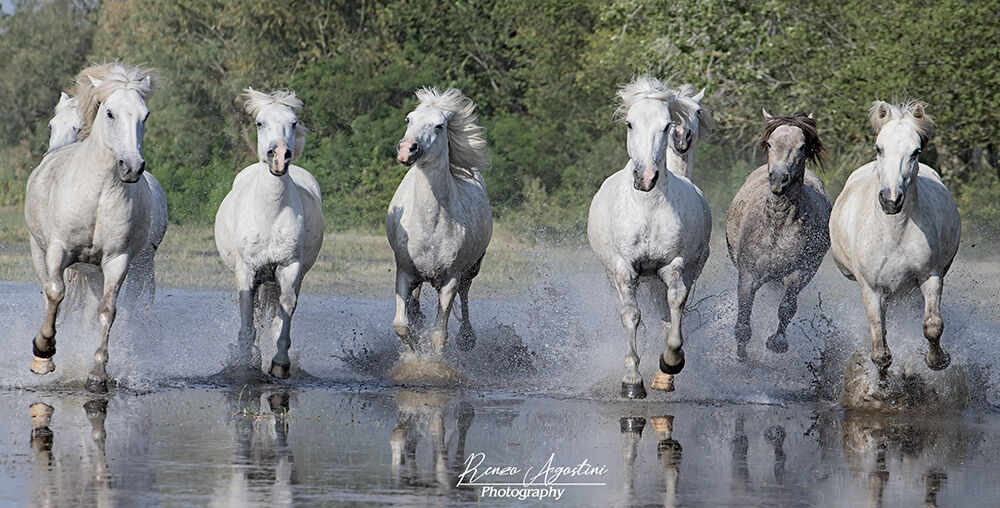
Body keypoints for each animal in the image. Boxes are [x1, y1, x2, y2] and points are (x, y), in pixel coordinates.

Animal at [215, 88, 324, 379]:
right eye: (259, 123)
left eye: (293, 122)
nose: (280, 156)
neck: (270, 213)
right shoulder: (247, 270)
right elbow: (247, 313)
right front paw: (245, 362)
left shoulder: (288, 266)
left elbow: (285, 307)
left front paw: (280, 363)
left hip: (279, 278)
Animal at [386, 87, 492, 366]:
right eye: (409, 119)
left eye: (439, 125)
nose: (406, 150)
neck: (430, 224)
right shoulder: (404, 270)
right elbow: (400, 324)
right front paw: (410, 355)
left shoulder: (450, 279)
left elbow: (439, 334)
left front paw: (433, 365)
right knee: (415, 298)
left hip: (472, 268)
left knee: (465, 295)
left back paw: (467, 338)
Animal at [587, 76, 712, 398]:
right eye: (629, 124)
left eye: (666, 125)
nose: (644, 177)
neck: (646, 207)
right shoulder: (623, 268)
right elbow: (631, 315)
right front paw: (632, 381)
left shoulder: (672, 264)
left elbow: (675, 303)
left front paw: (670, 363)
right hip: (617, 275)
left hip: (669, 275)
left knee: (667, 312)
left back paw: (663, 376)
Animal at [725, 110, 831, 361]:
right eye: (771, 143)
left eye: (802, 146)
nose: (778, 178)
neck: (776, 226)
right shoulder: (748, 275)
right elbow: (743, 317)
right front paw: (741, 355)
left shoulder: (798, 274)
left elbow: (787, 308)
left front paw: (777, 343)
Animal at [829, 100, 960, 374]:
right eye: (879, 148)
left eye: (916, 151)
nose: (891, 200)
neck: (894, 233)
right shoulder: (871, 288)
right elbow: (880, 347)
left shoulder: (930, 275)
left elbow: (933, 325)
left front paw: (937, 360)